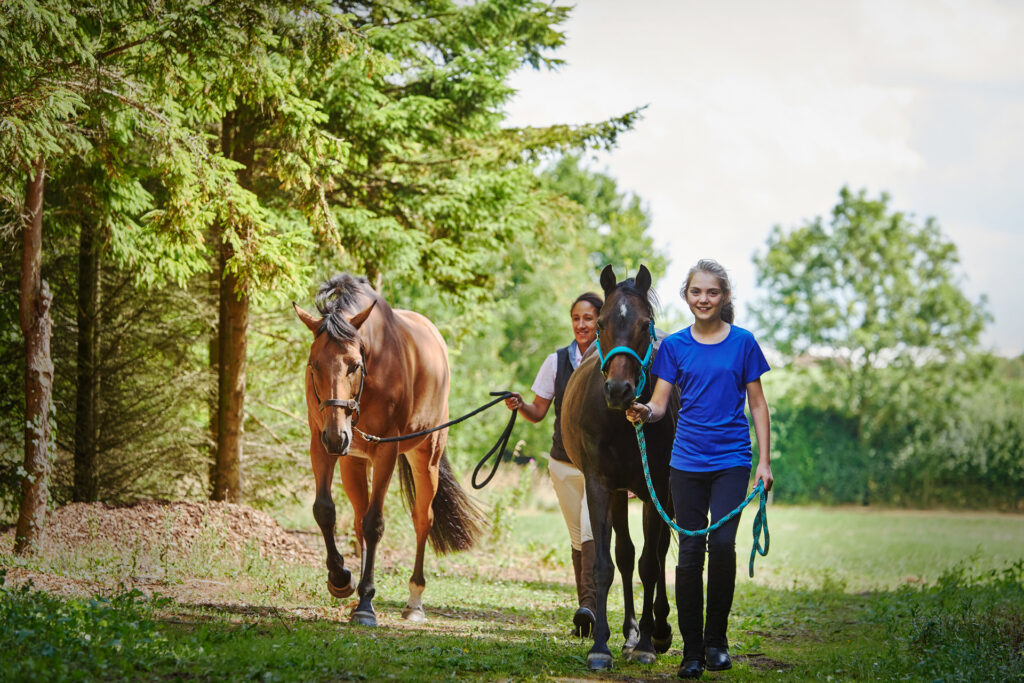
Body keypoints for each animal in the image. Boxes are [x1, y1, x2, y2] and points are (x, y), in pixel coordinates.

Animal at [294, 274, 485, 626]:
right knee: (358, 518)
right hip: (353, 461)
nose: (337, 436)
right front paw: (340, 579)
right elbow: (325, 510)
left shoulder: (385, 453)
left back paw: (414, 601)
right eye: (314, 365)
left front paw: (366, 604)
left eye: (354, 365)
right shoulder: (320, 443)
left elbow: (375, 524)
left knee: (422, 518)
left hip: (426, 458)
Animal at [561, 264, 680, 670]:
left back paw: (658, 630)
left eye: (645, 324)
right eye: (600, 323)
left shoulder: (655, 488)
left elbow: (650, 565)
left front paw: (646, 643)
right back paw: (628, 633)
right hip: (618, 494)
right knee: (625, 556)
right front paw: (601, 646)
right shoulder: (600, 486)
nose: (618, 390)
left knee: (657, 553)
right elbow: (605, 563)